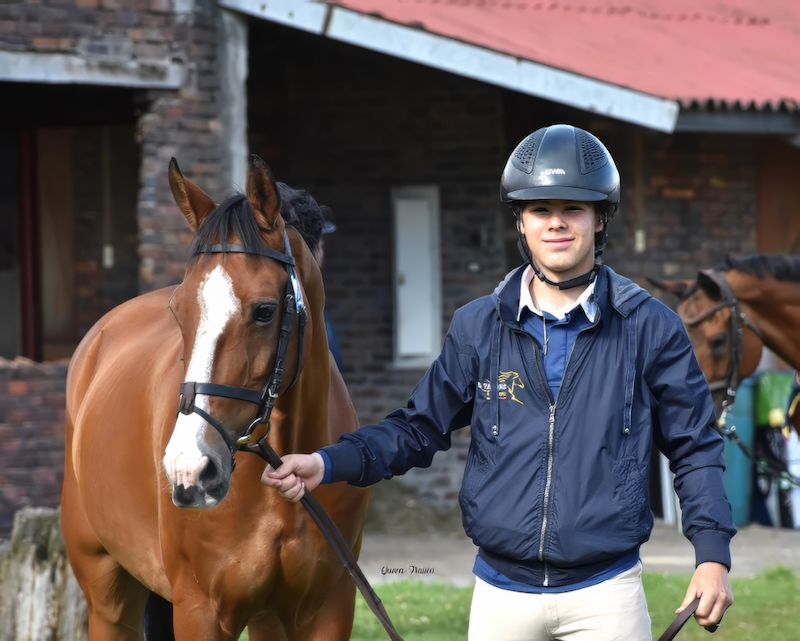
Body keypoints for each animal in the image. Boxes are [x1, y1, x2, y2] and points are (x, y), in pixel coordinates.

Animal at [61, 155, 369, 640]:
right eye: (178, 310)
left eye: (265, 311)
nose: (189, 469)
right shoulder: (199, 610)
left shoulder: (327, 609)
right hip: (107, 595)